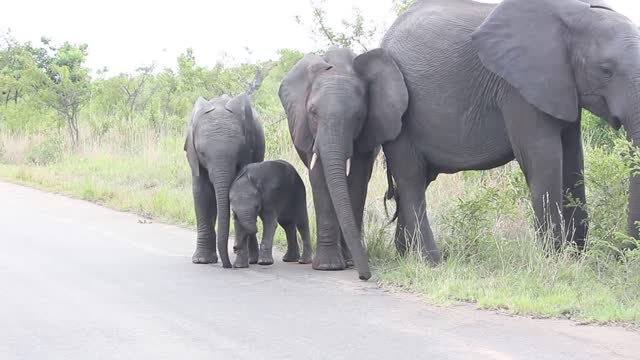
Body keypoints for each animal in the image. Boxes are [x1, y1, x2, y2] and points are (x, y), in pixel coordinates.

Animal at [185, 94, 264, 268]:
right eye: (202, 153)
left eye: (239, 151)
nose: (227, 265)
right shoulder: (195, 160)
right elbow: (202, 195)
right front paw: (202, 260)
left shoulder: (249, 151)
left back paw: (252, 259)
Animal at [278, 47, 408, 282]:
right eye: (312, 112)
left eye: (358, 116)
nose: (365, 276)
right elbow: (319, 179)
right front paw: (328, 266)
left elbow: (357, 181)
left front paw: (347, 263)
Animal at [362, 0, 640, 260]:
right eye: (605, 70)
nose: (619, 252)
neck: (576, 15)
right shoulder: (518, 90)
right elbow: (544, 159)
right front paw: (554, 260)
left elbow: (573, 159)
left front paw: (575, 258)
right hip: (398, 113)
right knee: (411, 179)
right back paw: (430, 261)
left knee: (420, 180)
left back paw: (405, 255)